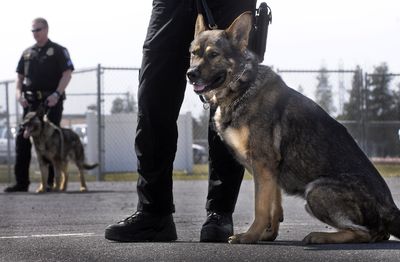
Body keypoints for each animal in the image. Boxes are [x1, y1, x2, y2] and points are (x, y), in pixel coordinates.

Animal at [188, 12, 400, 244]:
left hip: (316, 191)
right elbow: (273, 206)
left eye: (213, 54)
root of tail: (391, 210)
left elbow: (261, 208)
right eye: (193, 54)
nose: (190, 73)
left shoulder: (263, 164)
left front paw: (250, 236)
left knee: (364, 233)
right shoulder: (269, 171)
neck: (242, 88)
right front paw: (268, 234)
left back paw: (320, 236)